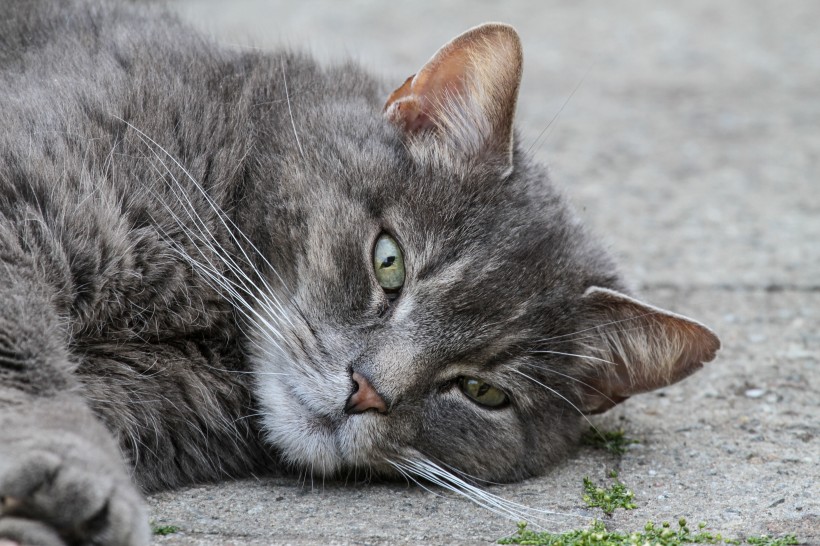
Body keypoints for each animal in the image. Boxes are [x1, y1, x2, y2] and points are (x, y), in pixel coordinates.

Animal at [0, 1, 716, 544]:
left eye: (483, 392)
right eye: (388, 261)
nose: (366, 392)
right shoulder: (22, 204)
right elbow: (27, 363)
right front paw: (68, 479)